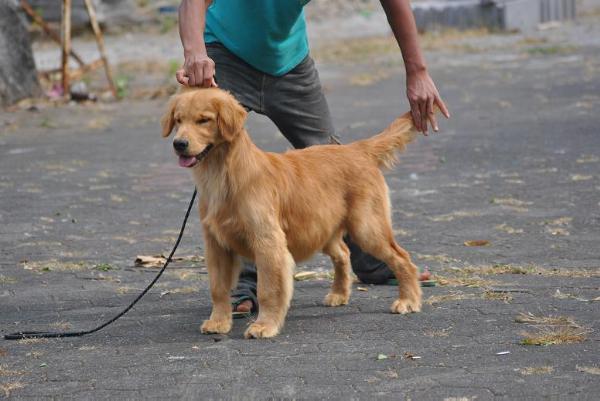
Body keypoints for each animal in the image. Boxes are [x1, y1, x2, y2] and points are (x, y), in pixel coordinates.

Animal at [161, 87, 422, 338]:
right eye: (178, 120)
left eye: (203, 120)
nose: (179, 144)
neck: (223, 176)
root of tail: (357, 149)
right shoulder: (216, 244)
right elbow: (218, 288)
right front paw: (219, 322)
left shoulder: (268, 242)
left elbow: (268, 290)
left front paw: (264, 326)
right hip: (321, 229)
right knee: (343, 253)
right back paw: (339, 294)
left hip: (367, 227)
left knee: (402, 258)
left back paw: (408, 300)